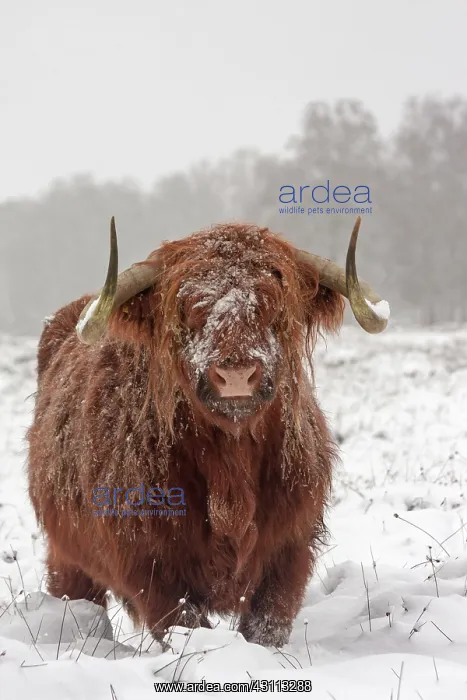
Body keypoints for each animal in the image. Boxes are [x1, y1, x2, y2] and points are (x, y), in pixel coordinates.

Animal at [27, 215, 389, 648]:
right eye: (188, 310)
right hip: (67, 556)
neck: (231, 471)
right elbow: (184, 625)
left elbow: (268, 624)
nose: (236, 374)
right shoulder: (151, 566)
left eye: (275, 306)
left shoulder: (290, 549)